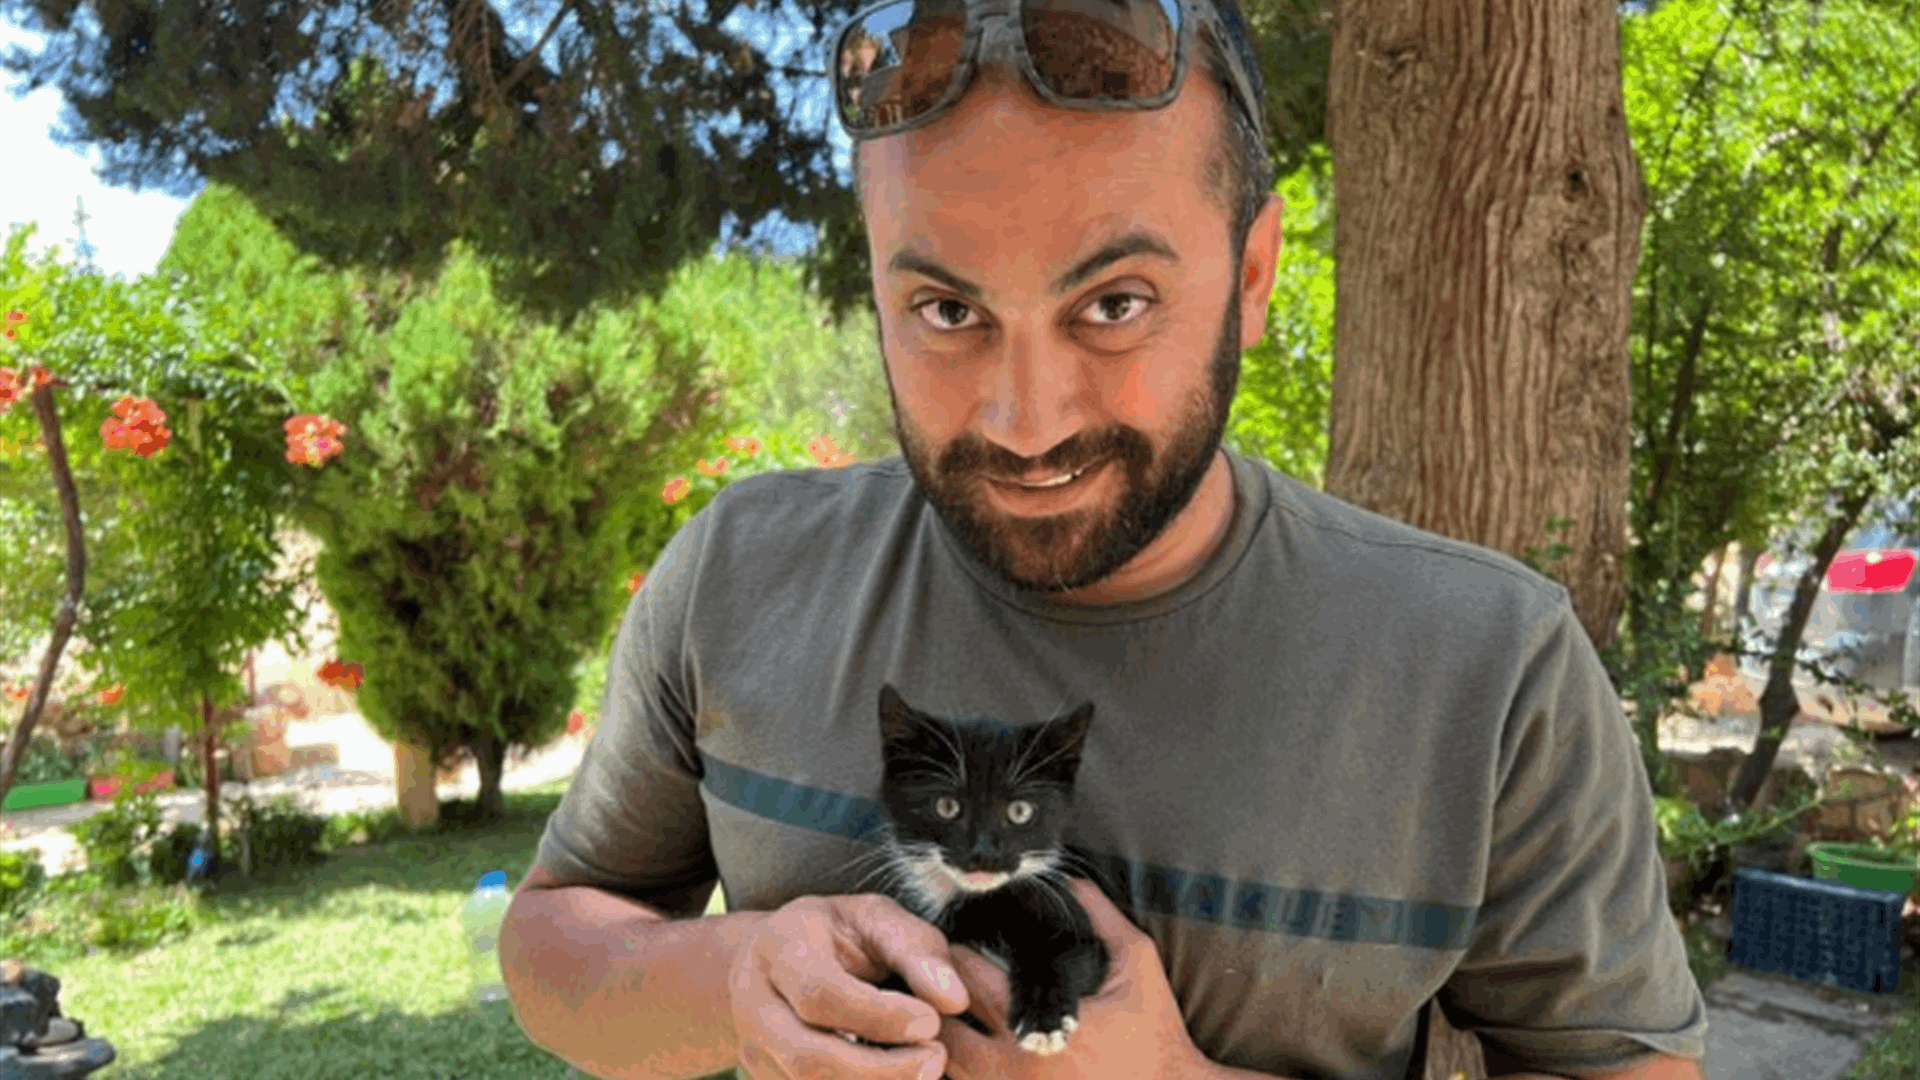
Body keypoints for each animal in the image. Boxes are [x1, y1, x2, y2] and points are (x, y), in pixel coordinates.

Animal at [837, 684, 1113, 1053]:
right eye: (947, 806)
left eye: (1020, 811)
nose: (983, 852)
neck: (979, 906)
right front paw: (883, 1002)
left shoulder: (1067, 914)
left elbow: (1066, 956)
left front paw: (1043, 1021)